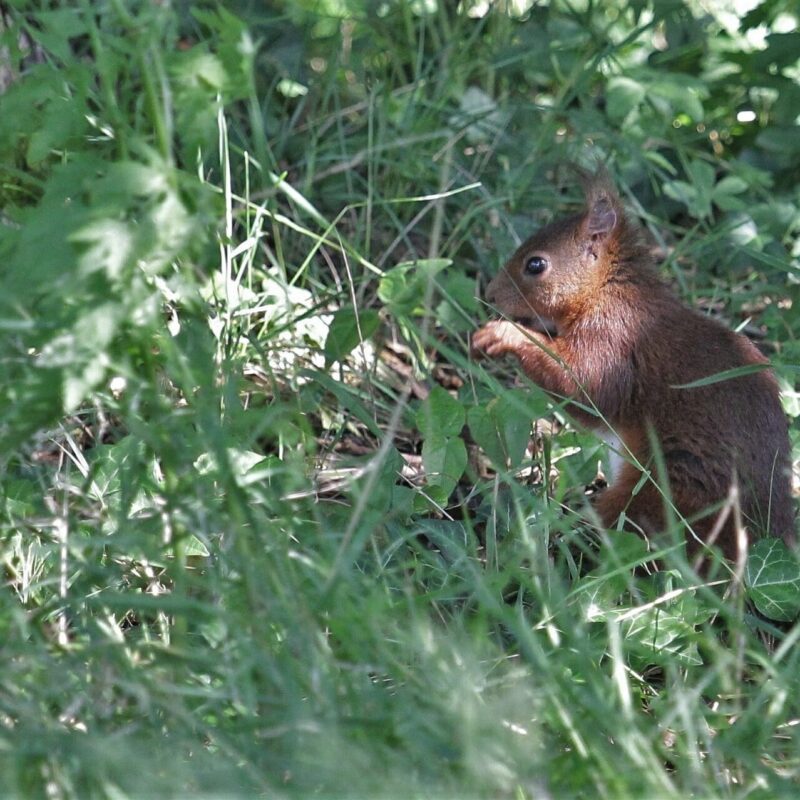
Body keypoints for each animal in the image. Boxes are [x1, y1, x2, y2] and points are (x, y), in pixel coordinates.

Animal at [472, 171, 796, 560]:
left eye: (535, 264)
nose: (489, 294)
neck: (606, 291)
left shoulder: (614, 340)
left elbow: (584, 389)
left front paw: (507, 335)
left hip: (667, 496)